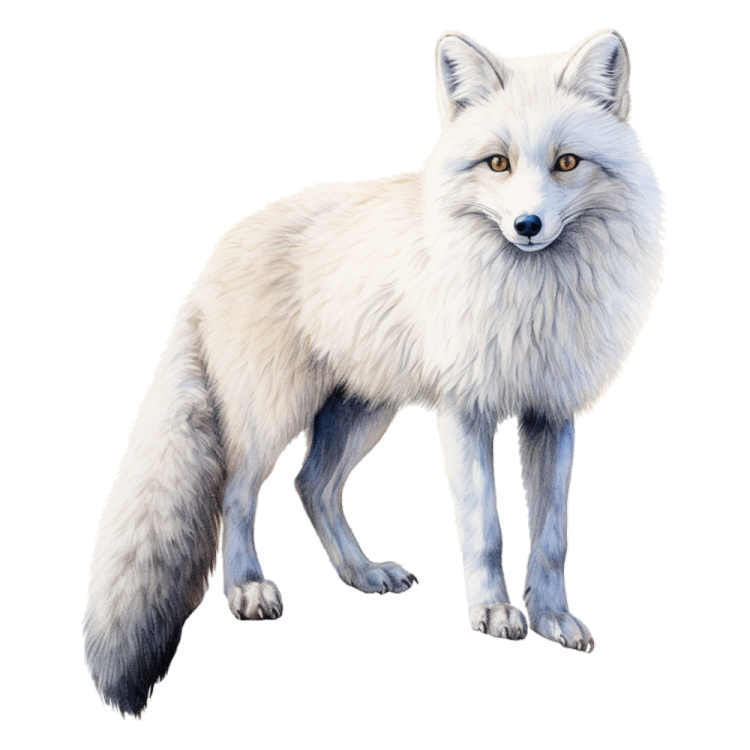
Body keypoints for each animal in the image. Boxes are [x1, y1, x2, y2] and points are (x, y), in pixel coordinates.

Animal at [84, 28, 665, 718]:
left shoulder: (550, 413)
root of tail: (219, 248)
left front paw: (551, 620)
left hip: (362, 413)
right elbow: (486, 530)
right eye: (498, 164)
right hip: (275, 415)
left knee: (312, 486)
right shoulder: (466, 413)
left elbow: (551, 539)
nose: (527, 226)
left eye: (568, 163)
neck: (530, 298)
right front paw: (494, 613)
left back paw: (362, 575)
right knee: (238, 493)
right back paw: (249, 589)